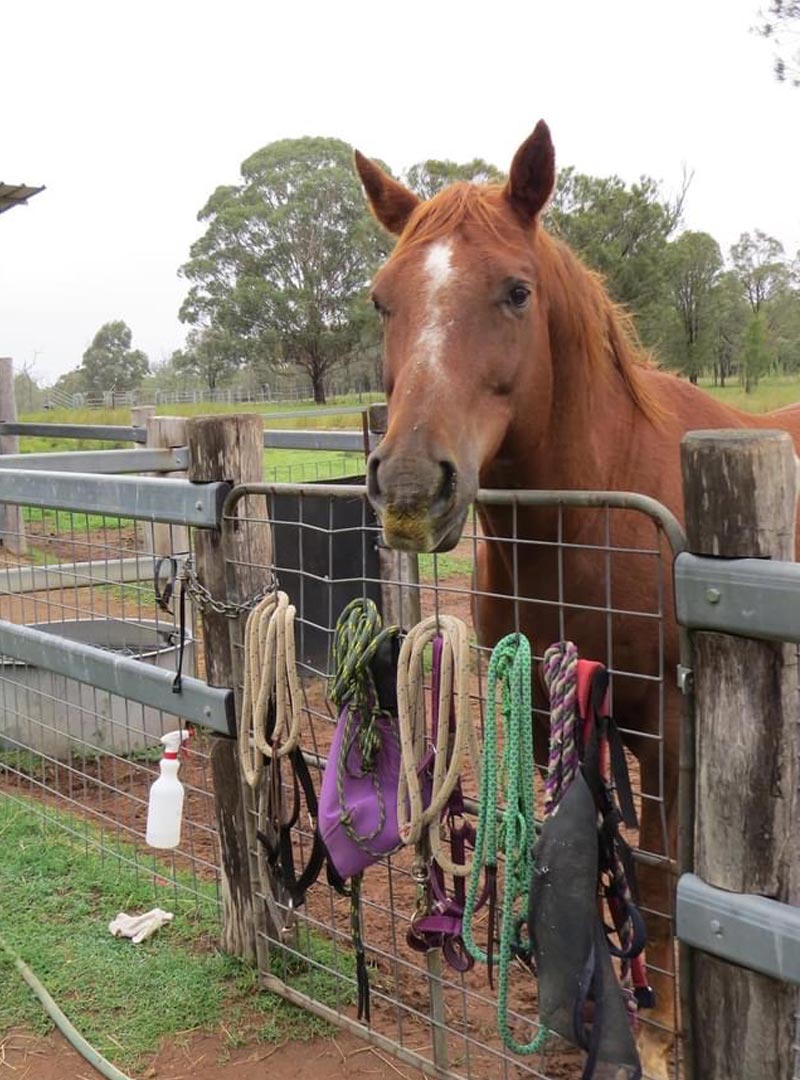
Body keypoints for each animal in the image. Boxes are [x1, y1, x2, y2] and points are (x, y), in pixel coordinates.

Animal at [354, 121, 800, 1079]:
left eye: (517, 292)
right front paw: (576, 1020)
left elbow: (662, 878)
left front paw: (663, 1038)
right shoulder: (542, 705)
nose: (408, 489)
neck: (592, 519)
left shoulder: (666, 728)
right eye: (381, 301)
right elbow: (563, 853)